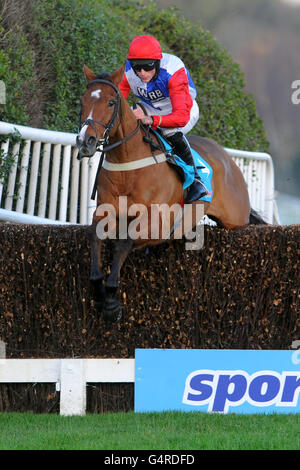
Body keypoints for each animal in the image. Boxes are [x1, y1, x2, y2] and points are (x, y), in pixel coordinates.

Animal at [75, 64, 264, 322]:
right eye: (82, 101)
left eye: (111, 102)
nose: (85, 141)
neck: (127, 165)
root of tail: (228, 159)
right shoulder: (106, 212)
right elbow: (94, 237)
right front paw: (99, 289)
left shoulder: (158, 223)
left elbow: (124, 242)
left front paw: (112, 299)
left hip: (237, 220)